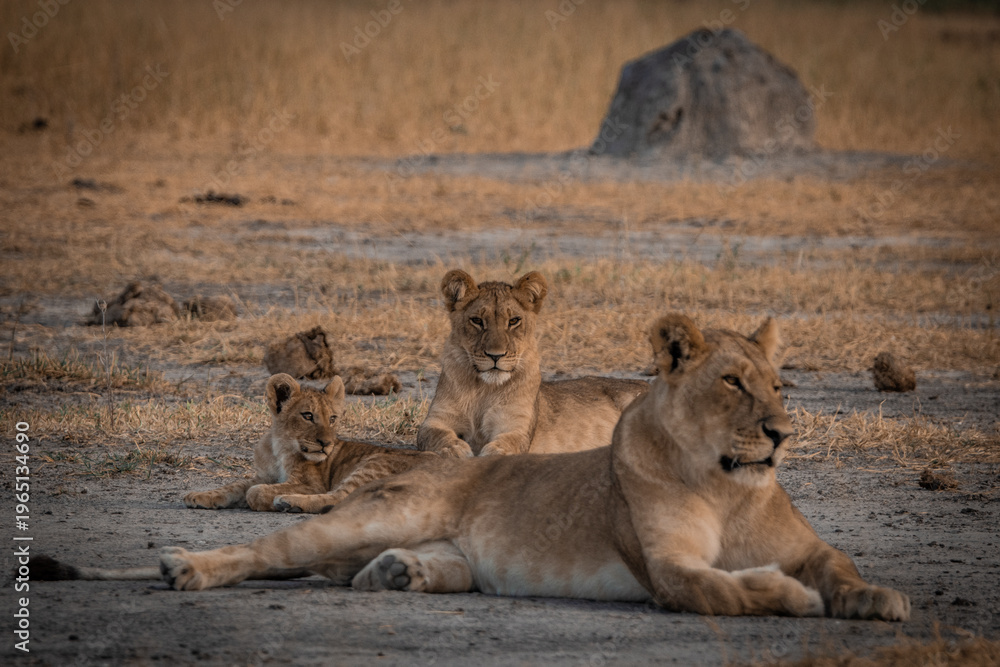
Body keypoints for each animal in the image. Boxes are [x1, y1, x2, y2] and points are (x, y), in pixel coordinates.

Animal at [184, 373, 435, 513]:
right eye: (308, 416)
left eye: (332, 419)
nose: (326, 444)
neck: (280, 448)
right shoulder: (265, 475)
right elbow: (235, 486)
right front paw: (199, 496)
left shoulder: (311, 485)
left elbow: (252, 492)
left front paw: (265, 498)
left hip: (374, 463)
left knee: (340, 498)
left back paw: (287, 503)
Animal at [417, 269, 649, 458]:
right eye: (477, 321)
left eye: (513, 321)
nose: (495, 355)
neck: (483, 388)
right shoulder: (437, 419)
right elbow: (431, 435)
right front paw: (454, 448)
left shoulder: (515, 426)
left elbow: (507, 444)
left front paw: (492, 454)